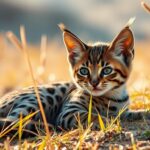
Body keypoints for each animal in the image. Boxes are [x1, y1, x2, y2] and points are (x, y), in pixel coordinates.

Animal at [0, 23, 150, 135]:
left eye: (107, 70)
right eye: (84, 71)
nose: (94, 83)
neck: (114, 96)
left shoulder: (122, 112)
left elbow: (134, 114)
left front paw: (144, 113)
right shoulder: (69, 111)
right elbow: (91, 115)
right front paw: (107, 122)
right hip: (43, 96)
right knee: (11, 123)